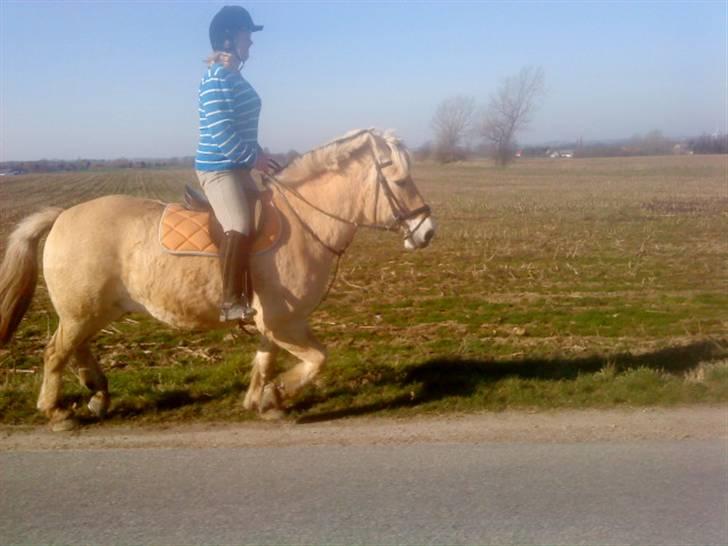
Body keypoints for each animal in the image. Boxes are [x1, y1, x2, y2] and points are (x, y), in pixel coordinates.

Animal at [0, 129, 432, 430]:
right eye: (400, 181)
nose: (427, 232)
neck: (303, 223)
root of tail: (62, 215)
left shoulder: (274, 323)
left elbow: (264, 360)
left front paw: (263, 402)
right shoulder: (285, 322)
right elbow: (316, 360)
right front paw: (276, 396)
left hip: (92, 311)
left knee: (76, 350)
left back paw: (98, 393)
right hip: (82, 312)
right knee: (55, 353)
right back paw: (57, 412)